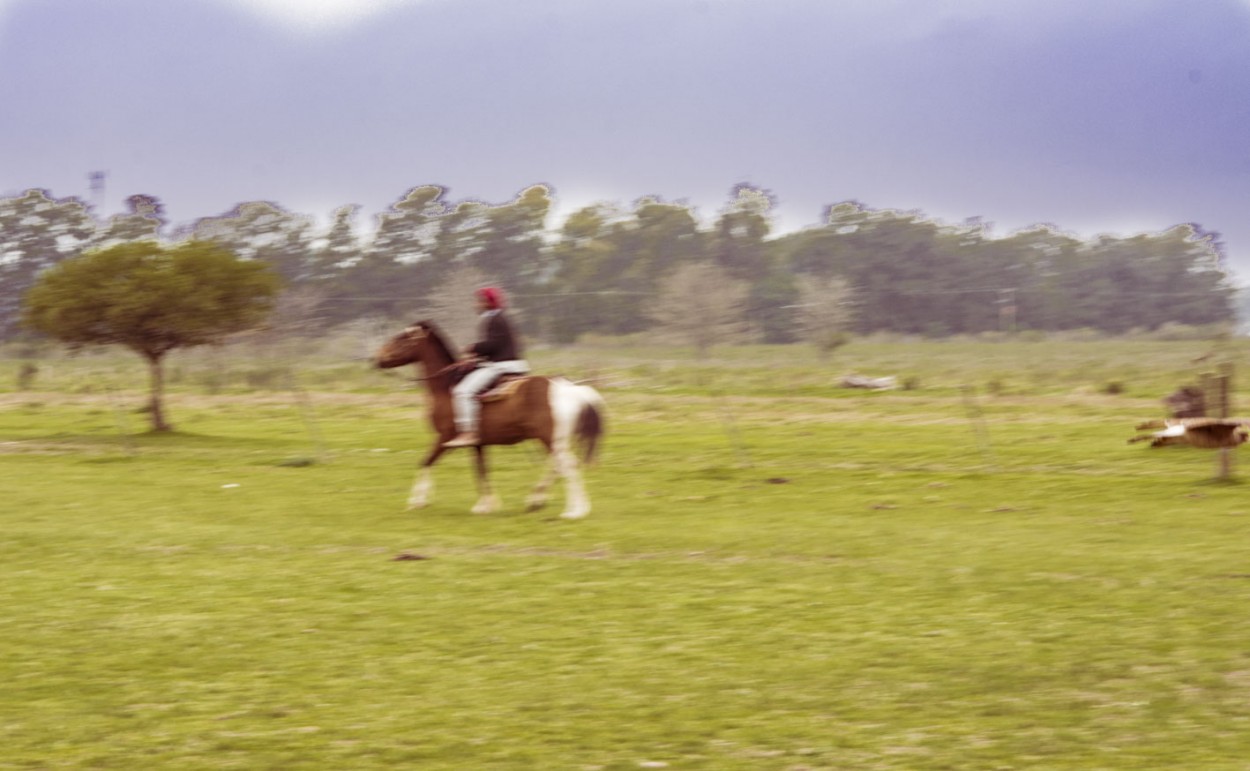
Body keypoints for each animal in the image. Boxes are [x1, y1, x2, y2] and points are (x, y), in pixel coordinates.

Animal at [370, 318, 605, 517]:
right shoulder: (477, 443)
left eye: (402, 338)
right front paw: (485, 505)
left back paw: (574, 511)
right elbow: (481, 469)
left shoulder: (445, 437)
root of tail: (570, 388)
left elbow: (425, 462)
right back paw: (538, 500)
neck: (447, 387)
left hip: (551, 439)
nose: (377, 358)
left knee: (568, 465)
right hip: (554, 440)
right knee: (557, 466)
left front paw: (416, 501)